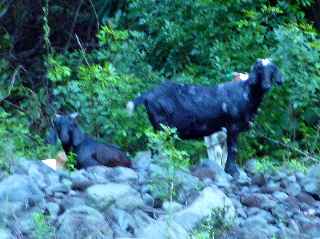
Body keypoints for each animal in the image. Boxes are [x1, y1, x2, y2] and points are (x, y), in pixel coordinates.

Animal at [127, 58, 282, 176]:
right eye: (259, 70)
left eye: (272, 71)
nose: (267, 86)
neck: (246, 94)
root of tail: (147, 95)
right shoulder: (233, 127)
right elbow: (233, 150)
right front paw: (232, 171)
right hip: (161, 126)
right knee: (156, 145)